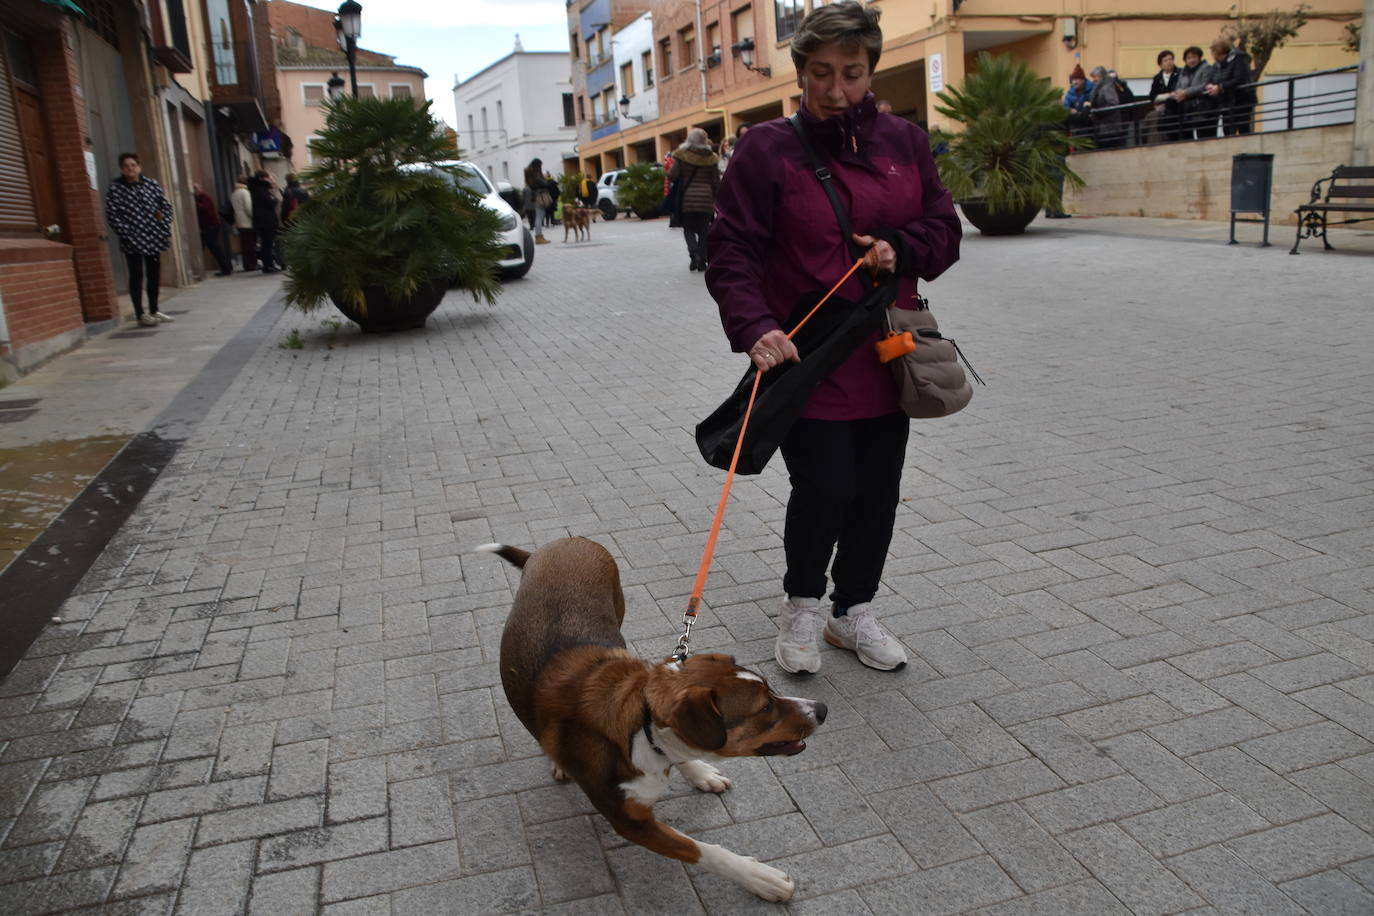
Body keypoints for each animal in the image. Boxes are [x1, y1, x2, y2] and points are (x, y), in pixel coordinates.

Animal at [483, 538, 824, 900]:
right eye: (764, 708)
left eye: (771, 690)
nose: (822, 710)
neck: (641, 727)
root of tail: (563, 541)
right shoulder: (631, 822)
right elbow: (704, 851)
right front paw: (759, 877)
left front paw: (700, 772)